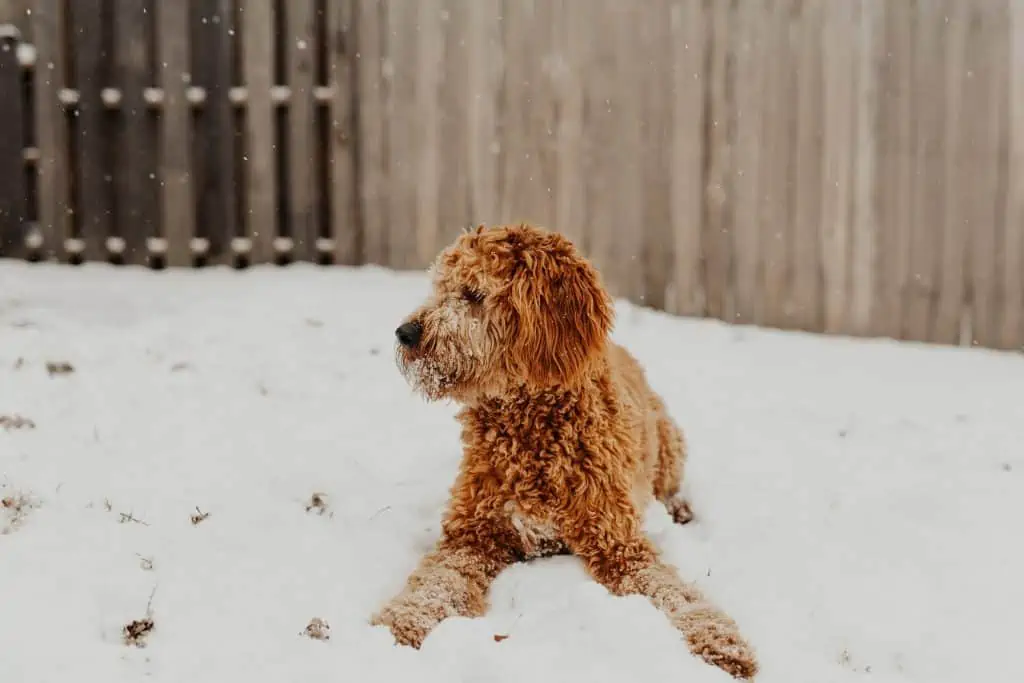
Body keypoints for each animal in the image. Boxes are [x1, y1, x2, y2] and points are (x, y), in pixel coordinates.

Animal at [372, 223, 757, 679]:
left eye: (474, 293)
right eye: (440, 287)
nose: (405, 332)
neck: (532, 430)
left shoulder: (619, 545)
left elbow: (674, 594)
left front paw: (720, 641)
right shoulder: (471, 535)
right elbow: (435, 583)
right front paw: (399, 623)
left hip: (669, 440)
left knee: (671, 484)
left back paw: (679, 508)